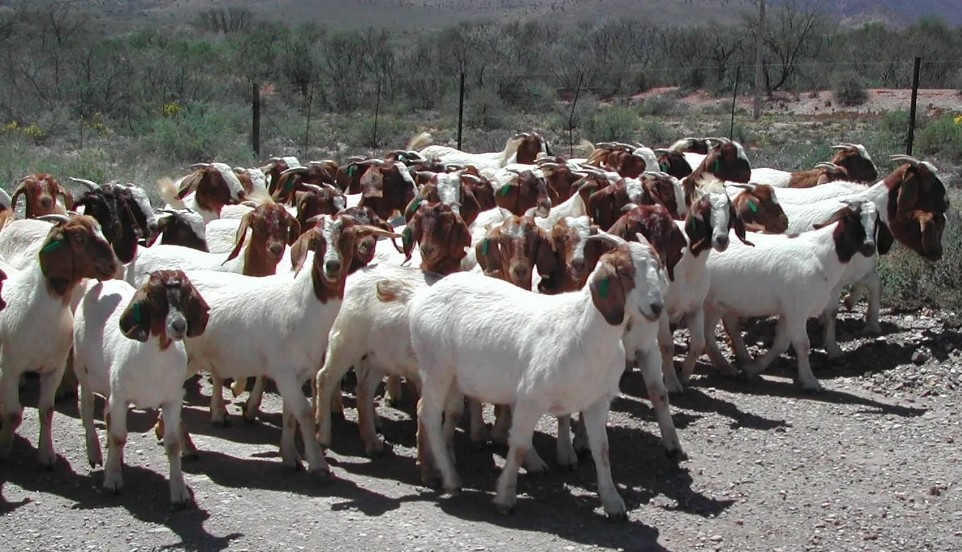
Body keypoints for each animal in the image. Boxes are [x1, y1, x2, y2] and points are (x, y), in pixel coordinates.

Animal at [73, 270, 209, 506]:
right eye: (154, 299)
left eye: (185, 295)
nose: (179, 325)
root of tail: (103, 284)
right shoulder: (121, 398)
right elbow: (119, 437)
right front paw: (113, 480)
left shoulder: (172, 400)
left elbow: (172, 443)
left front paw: (179, 492)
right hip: (83, 371)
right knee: (87, 408)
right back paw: (95, 454)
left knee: (106, 413)